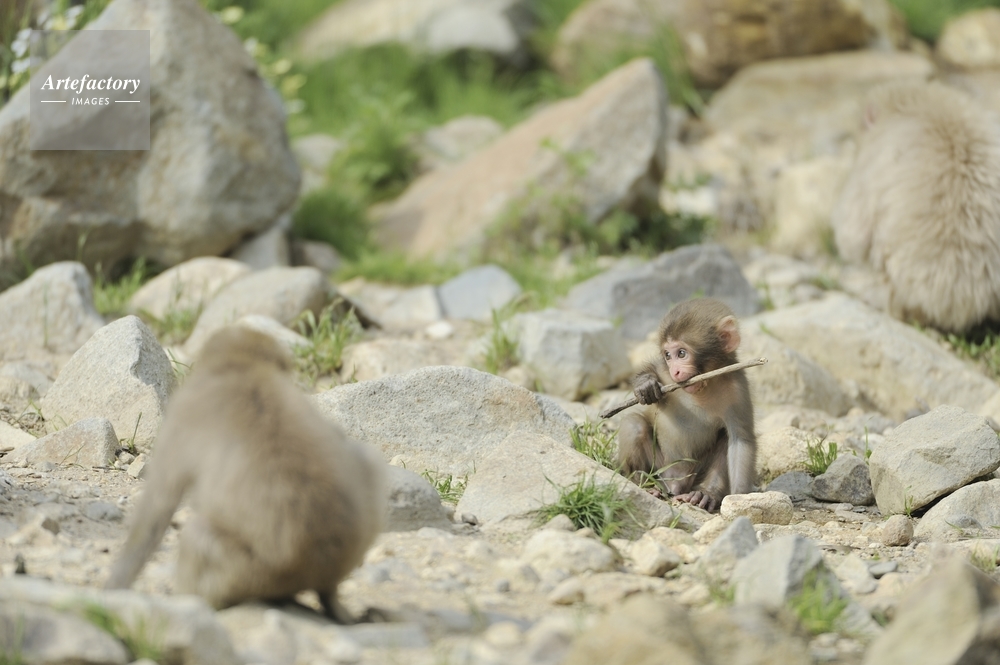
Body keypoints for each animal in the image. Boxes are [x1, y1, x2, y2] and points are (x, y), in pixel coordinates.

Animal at [104, 327, 387, 623]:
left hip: (249, 573)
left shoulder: (182, 413)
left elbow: (156, 508)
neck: (243, 367)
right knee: (368, 461)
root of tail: (323, 576)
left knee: (198, 535)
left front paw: (114, 587)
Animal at [616, 298, 756, 512]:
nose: (676, 371)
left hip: (692, 475)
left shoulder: (737, 388)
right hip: (660, 467)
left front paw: (739, 495)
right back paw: (644, 483)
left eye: (681, 353)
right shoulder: (666, 376)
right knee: (634, 425)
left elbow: (740, 438)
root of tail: (675, 485)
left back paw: (706, 493)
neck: (703, 388)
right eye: (667, 355)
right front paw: (645, 383)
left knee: (725, 437)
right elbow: (653, 369)